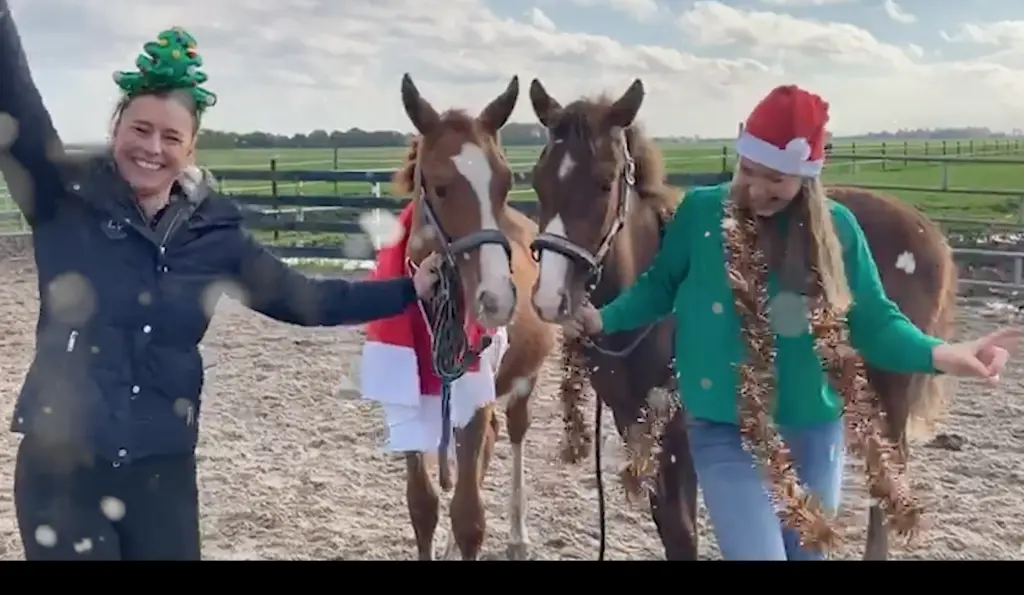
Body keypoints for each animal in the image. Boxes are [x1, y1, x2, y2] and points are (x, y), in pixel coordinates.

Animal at [391, 74, 557, 560]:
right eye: (440, 186)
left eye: (504, 183)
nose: (497, 298)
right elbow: (423, 505)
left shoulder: (475, 404)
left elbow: (469, 519)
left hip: (521, 382)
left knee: (515, 433)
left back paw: (519, 535)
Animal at [528, 78, 700, 560]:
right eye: (537, 182)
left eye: (606, 183)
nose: (551, 298)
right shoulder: (633, 423)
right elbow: (669, 524)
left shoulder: (679, 435)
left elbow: (684, 533)